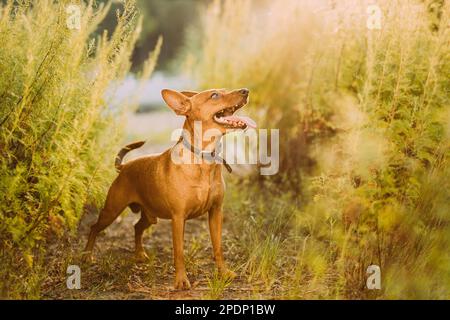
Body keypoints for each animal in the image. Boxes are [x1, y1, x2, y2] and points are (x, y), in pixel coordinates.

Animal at [82, 87, 255, 290]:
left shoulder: (215, 212)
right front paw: (181, 280)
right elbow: (178, 252)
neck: (203, 158)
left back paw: (139, 254)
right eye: (214, 95)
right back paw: (87, 256)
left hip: (150, 215)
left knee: (137, 227)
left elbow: (218, 247)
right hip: (111, 211)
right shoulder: (178, 218)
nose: (246, 90)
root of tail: (124, 167)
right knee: (94, 227)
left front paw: (224, 273)